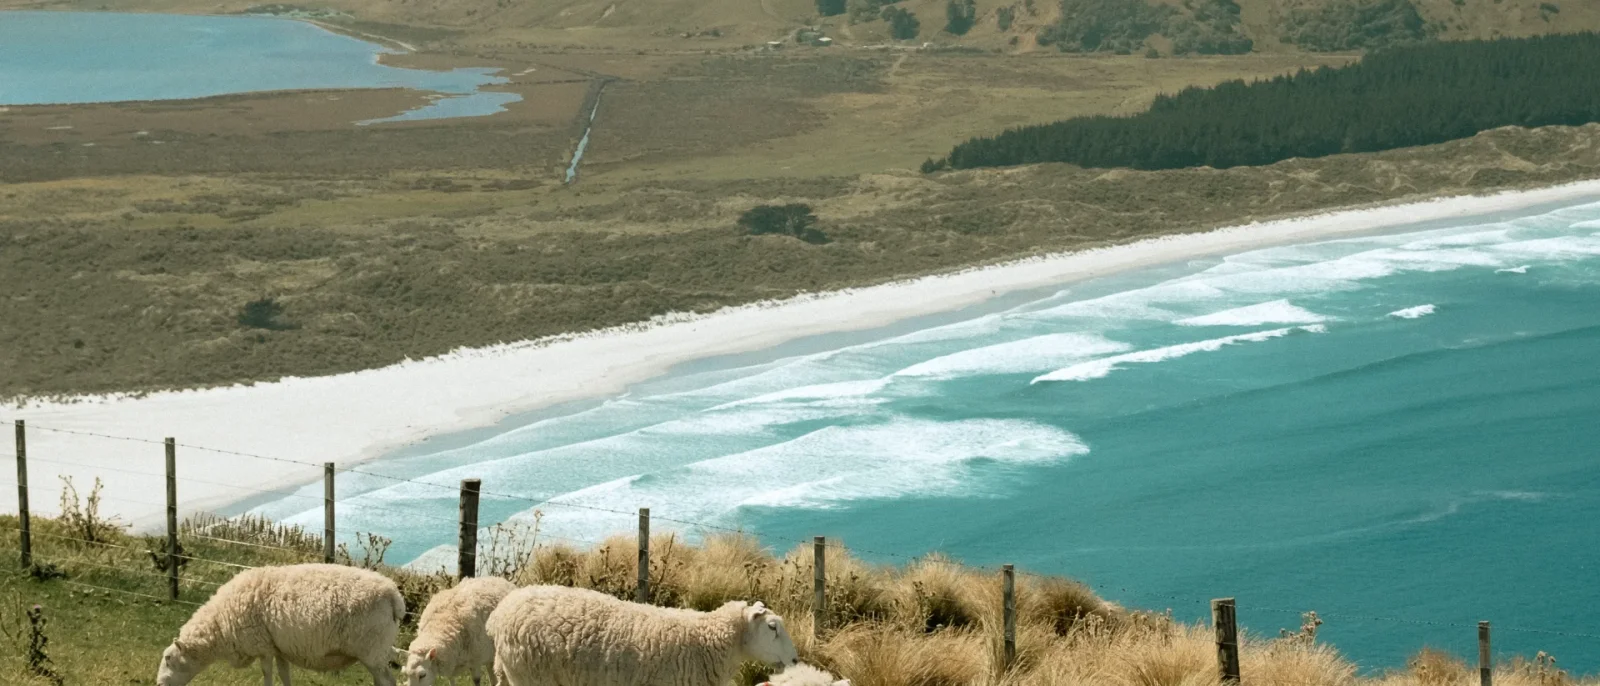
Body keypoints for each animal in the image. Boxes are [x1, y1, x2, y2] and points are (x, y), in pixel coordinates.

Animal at [156, 563, 405, 686]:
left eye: (168, 659)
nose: (158, 685)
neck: (219, 624)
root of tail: (393, 594)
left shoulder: (262, 646)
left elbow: (266, 674)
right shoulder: (279, 647)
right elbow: (285, 674)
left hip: (372, 648)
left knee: (388, 682)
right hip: (375, 652)